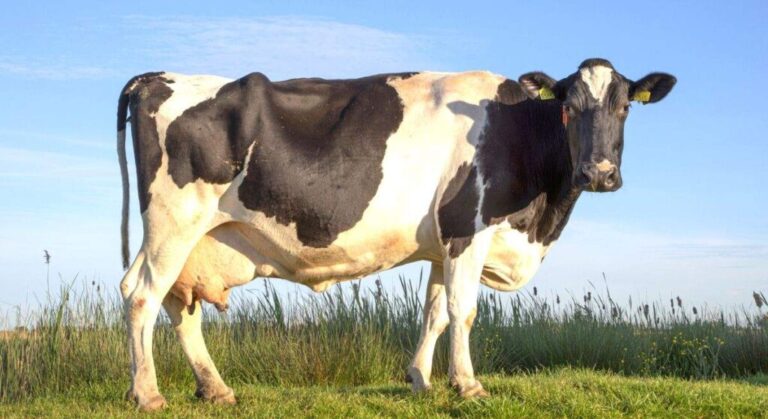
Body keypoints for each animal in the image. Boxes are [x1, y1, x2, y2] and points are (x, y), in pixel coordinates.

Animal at [117, 58, 675, 411]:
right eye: (568, 106)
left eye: (625, 106)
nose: (599, 172)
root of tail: (156, 77)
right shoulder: (467, 228)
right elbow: (463, 311)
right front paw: (467, 385)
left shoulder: (442, 246)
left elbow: (433, 313)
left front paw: (421, 380)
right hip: (173, 222)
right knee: (141, 294)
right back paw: (147, 394)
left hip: (194, 239)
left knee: (179, 306)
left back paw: (215, 389)